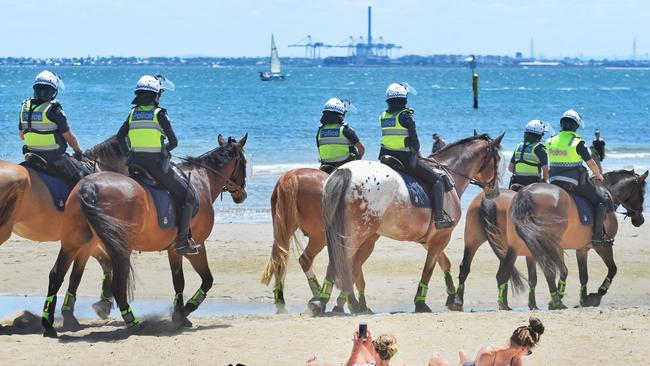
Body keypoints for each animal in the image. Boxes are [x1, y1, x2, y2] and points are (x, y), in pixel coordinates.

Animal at [39, 134, 248, 338]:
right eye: (245, 163)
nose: (242, 195)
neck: (201, 180)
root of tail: (89, 185)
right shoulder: (197, 246)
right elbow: (207, 280)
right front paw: (185, 311)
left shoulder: (174, 250)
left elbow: (178, 281)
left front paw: (180, 314)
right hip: (118, 247)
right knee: (117, 285)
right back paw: (132, 323)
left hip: (74, 243)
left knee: (56, 275)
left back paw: (49, 325)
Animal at [258, 167, 456, 314]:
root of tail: (290, 176)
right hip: (321, 236)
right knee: (307, 259)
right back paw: (319, 295)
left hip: (286, 231)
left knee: (280, 260)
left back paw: (285, 298)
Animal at [312, 133, 502, 314]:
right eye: (498, 159)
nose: (495, 191)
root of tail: (345, 171)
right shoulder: (441, 236)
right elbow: (429, 269)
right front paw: (421, 302)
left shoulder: (430, 240)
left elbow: (444, 262)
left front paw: (452, 298)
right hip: (356, 235)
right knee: (342, 261)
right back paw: (339, 301)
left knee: (340, 263)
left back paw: (324, 302)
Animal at [498, 169, 644, 308]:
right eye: (642, 194)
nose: (640, 220)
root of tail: (525, 193)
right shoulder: (603, 246)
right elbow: (612, 270)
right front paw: (596, 296)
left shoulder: (582, 249)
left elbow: (583, 276)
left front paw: (583, 299)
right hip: (548, 244)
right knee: (551, 271)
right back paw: (556, 302)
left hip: (517, 246)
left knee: (504, 273)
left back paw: (504, 304)